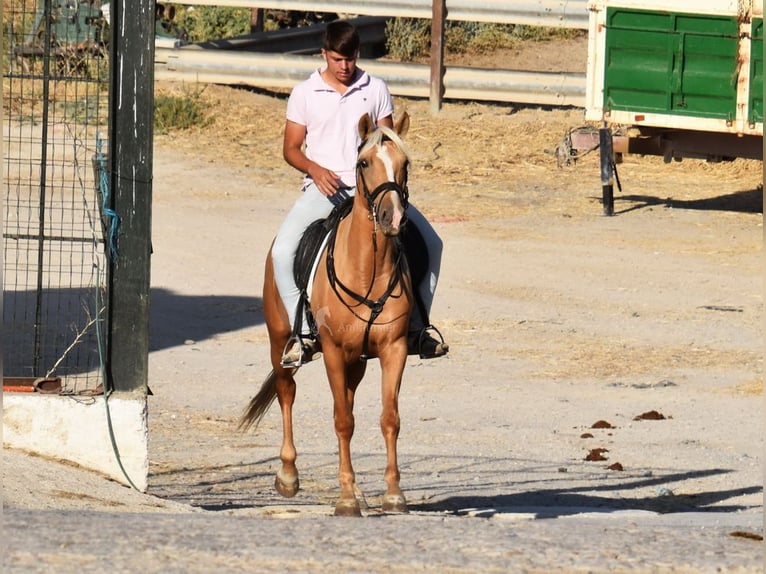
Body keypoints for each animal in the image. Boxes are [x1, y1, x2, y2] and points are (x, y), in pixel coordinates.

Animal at [243, 111, 416, 516]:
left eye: (405, 164)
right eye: (364, 162)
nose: (392, 217)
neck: (368, 270)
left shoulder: (394, 348)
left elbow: (389, 418)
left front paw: (392, 494)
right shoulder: (334, 351)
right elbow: (342, 421)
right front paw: (347, 499)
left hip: (357, 361)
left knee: (347, 398)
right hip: (280, 343)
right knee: (286, 392)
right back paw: (288, 475)